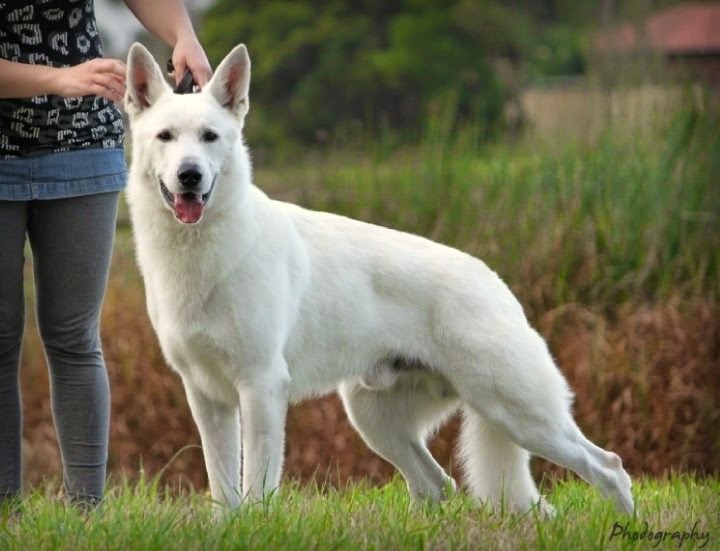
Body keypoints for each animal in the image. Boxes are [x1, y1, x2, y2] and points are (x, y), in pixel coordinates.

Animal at [126, 42, 632, 512]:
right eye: (166, 137)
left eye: (210, 137)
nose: (189, 175)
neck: (201, 252)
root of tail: (498, 285)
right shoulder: (206, 397)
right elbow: (222, 488)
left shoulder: (261, 387)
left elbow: (257, 487)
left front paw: (255, 527)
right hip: (377, 420)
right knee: (436, 485)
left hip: (520, 415)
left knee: (609, 467)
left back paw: (628, 525)